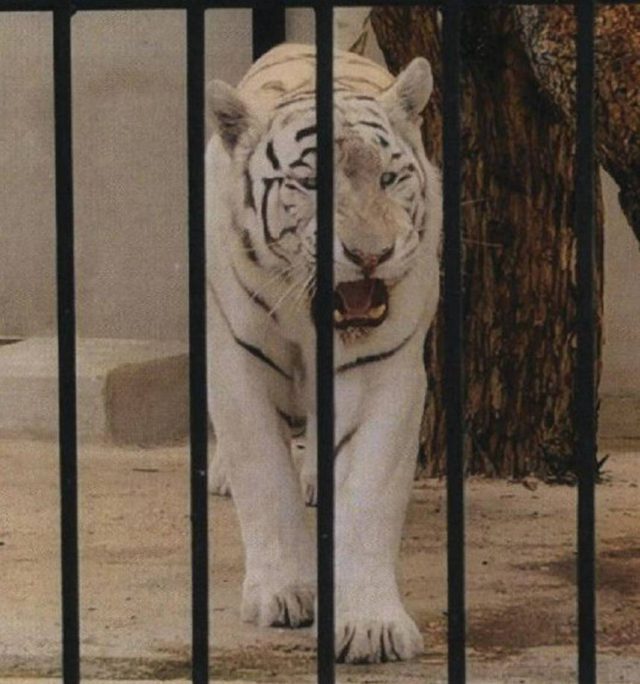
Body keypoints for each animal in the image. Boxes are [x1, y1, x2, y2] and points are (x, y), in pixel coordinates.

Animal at [206, 44, 441, 664]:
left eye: (389, 178)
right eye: (311, 183)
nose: (371, 255)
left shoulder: (384, 374)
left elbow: (369, 495)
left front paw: (371, 624)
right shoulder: (239, 365)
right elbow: (264, 477)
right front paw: (284, 592)